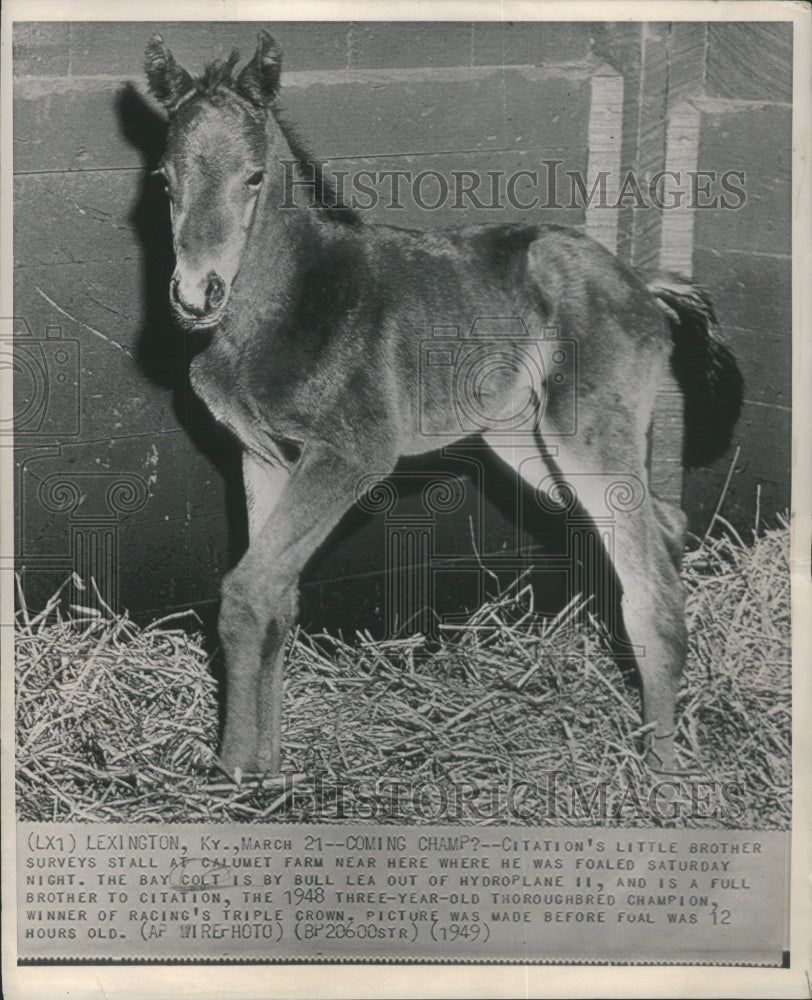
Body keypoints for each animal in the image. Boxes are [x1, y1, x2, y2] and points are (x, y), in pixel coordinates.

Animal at [146, 31, 744, 776]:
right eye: (164, 180)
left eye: (253, 177)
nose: (196, 294)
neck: (290, 303)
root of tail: (642, 282)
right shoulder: (263, 460)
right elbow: (274, 599)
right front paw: (266, 765)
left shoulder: (351, 456)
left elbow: (247, 592)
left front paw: (232, 772)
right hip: (526, 445)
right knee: (665, 522)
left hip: (586, 436)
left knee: (651, 589)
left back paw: (661, 771)